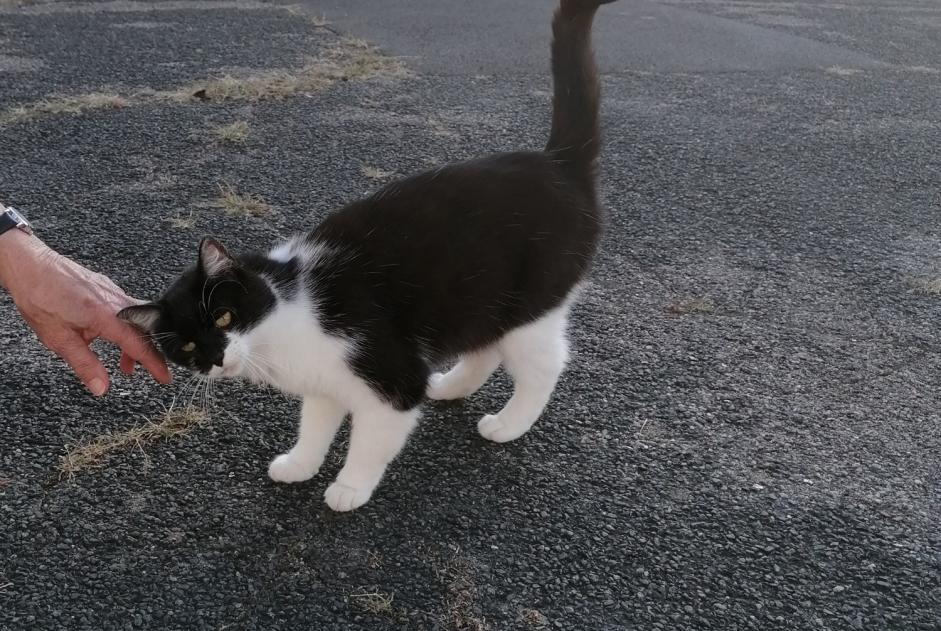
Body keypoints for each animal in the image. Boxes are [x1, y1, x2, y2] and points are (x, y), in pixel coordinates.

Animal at [119, 0, 616, 512]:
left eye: (222, 316)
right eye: (188, 347)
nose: (217, 358)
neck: (284, 321)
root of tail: (558, 162)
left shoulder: (392, 381)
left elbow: (370, 441)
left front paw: (350, 487)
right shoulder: (324, 384)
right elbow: (315, 424)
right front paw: (300, 464)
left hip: (529, 305)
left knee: (544, 365)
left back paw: (509, 423)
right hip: (480, 297)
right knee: (484, 347)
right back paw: (450, 387)